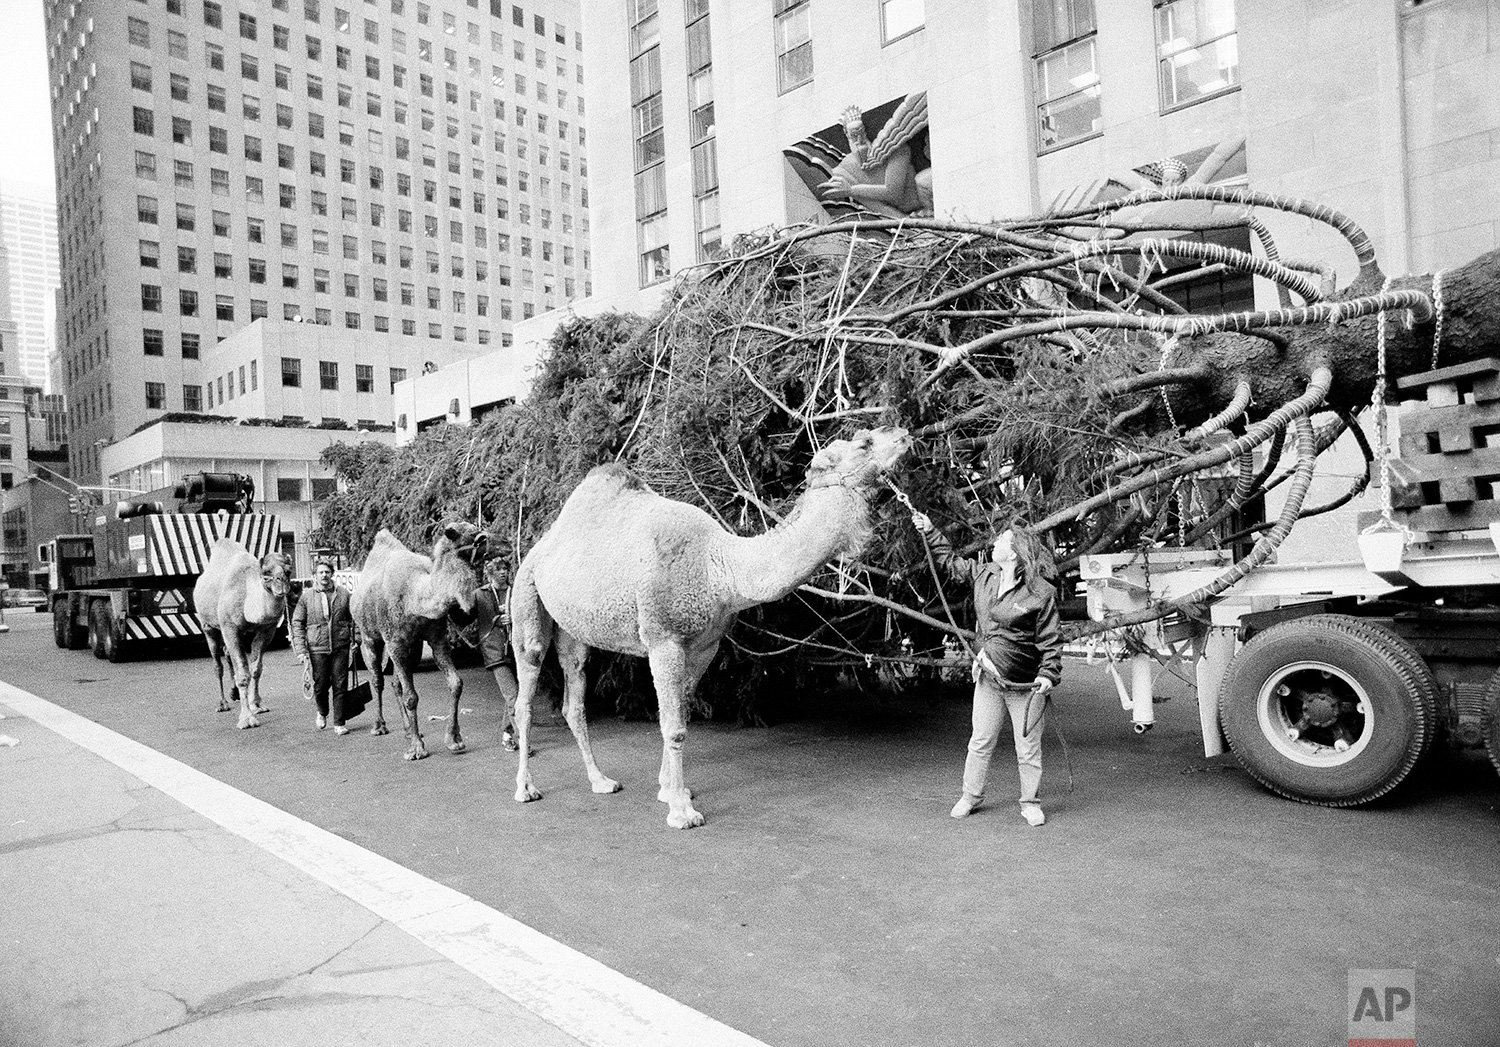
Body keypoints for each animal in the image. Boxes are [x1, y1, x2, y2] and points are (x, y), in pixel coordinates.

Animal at [195, 537, 291, 726]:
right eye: (266, 571)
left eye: (288, 571)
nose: (281, 581)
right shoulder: (230, 627)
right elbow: (243, 674)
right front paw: (246, 719)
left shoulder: (266, 630)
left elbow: (256, 669)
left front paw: (257, 705)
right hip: (208, 626)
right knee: (217, 664)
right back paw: (222, 703)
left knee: (227, 654)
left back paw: (233, 694)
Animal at [351, 522, 486, 759]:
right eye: (472, 536)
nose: (490, 538)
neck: (415, 597)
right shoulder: (394, 642)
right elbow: (411, 696)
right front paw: (416, 749)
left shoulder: (436, 638)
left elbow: (456, 683)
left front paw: (454, 740)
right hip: (369, 636)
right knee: (378, 680)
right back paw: (379, 726)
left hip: (411, 647)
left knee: (395, 683)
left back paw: (407, 731)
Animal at [513, 423, 912, 822]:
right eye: (864, 444)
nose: (904, 434)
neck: (719, 567)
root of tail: (542, 544)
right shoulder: (664, 639)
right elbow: (673, 726)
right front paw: (681, 811)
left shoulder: (705, 645)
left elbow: (683, 714)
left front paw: (669, 790)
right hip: (526, 598)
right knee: (526, 691)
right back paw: (525, 788)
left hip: (573, 630)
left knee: (574, 697)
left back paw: (600, 780)